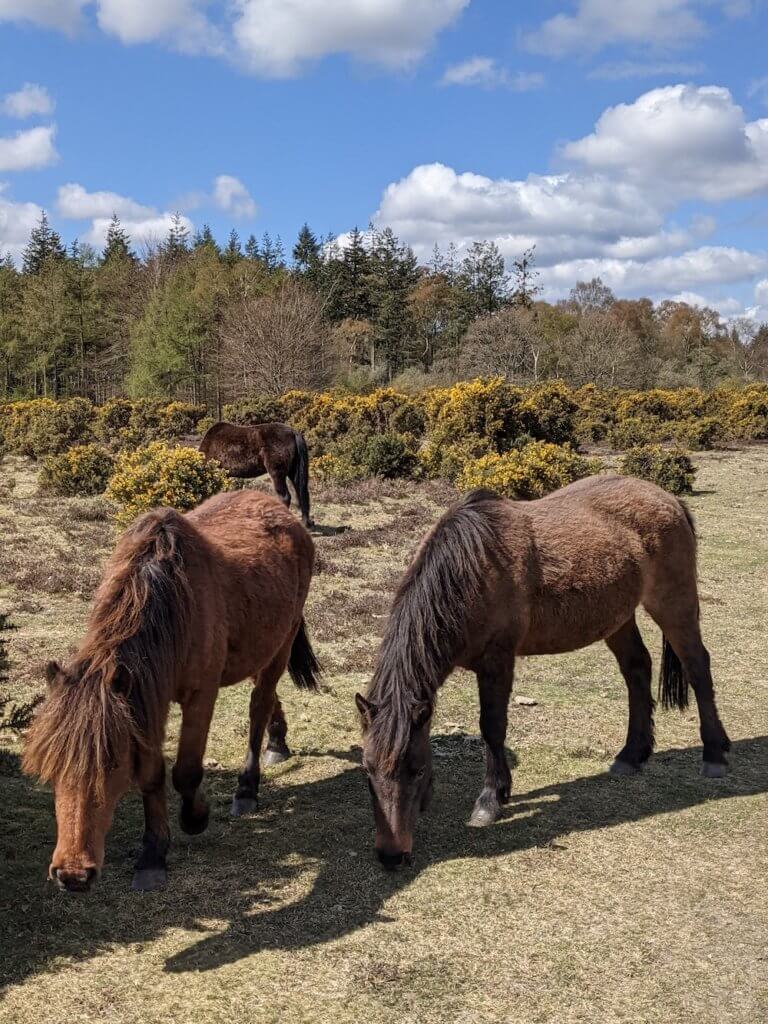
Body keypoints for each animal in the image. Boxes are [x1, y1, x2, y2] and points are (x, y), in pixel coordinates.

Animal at [23, 485, 319, 888]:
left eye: (112, 764)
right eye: (51, 768)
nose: (72, 874)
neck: (172, 601)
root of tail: (282, 511)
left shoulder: (198, 695)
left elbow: (186, 771)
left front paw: (195, 818)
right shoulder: (145, 697)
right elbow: (152, 775)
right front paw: (153, 854)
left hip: (282, 642)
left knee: (259, 704)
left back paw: (247, 787)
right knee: (267, 695)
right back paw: (277, 741)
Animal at [358, 475, 729, 868]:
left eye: (416, 769)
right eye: (368, 769)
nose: (391, 855)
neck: (473, 572)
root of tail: (669, 499)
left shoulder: (498, 661)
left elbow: (492, 728)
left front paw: (491, 800)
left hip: (673, 605)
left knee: (698, 667)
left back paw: (714, 754)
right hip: (618, 618)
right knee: (637, 669)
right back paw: (632, 754)